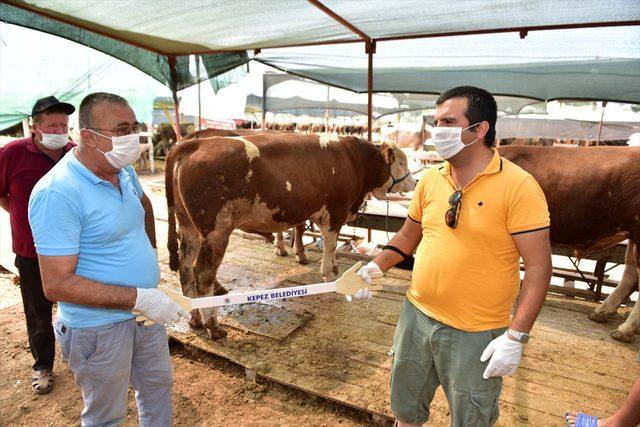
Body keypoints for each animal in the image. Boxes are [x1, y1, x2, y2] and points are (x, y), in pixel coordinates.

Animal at [166, 132, 416, 340]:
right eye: (401, 162)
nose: (414, 182)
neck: (354, 159)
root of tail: (197, 143)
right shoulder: (336, 210)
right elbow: (329, 244)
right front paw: (328, 275)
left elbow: (329, 243)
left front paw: (333, 266)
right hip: (216, 231)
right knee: (202, 276)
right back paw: (214, 327)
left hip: (188, 227)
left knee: (185, 269)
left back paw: (195, 320)